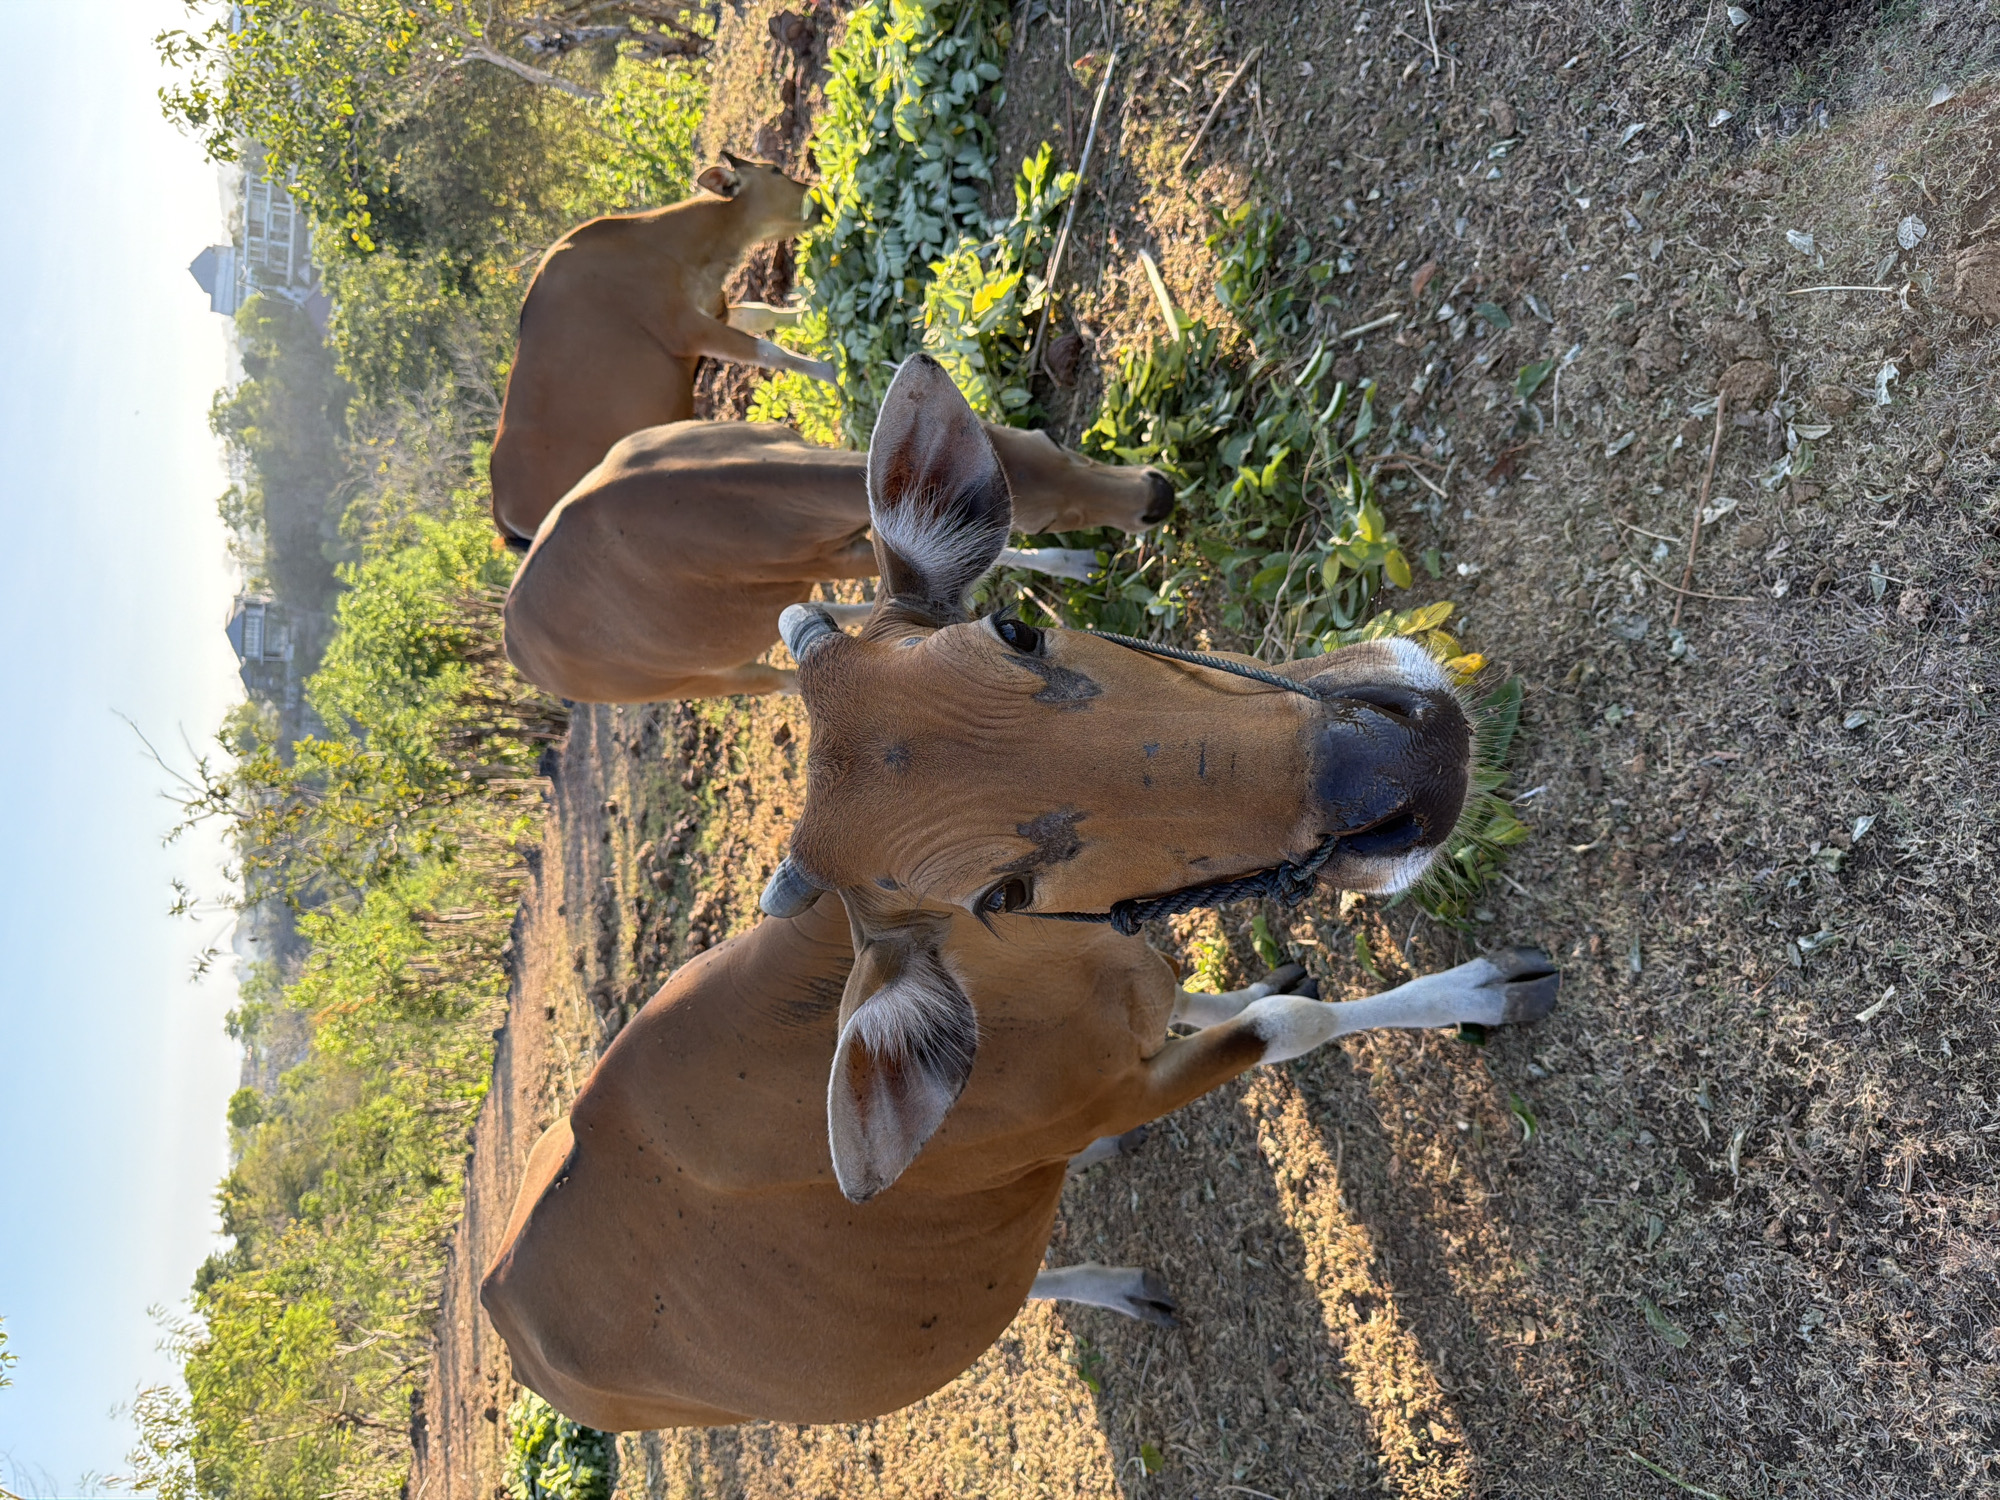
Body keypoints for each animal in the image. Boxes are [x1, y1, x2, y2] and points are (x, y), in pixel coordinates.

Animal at [479, 354, 1558, 1429]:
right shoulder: (1125, 1083)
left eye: (1018, 628)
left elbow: (1214, 992)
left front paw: (1250, 982)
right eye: (999, 894)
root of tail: (508, 1315)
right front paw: (1479, 992)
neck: (1045, 979)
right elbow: (1290, 1023)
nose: (1407, 765)